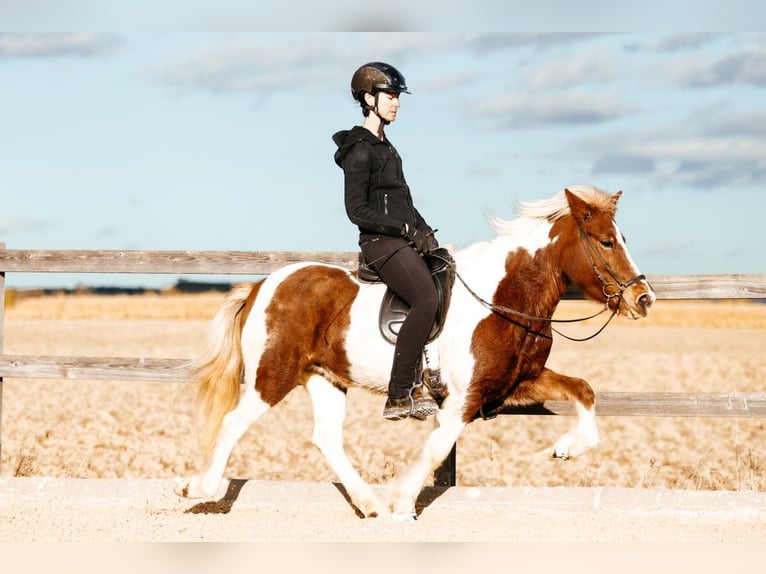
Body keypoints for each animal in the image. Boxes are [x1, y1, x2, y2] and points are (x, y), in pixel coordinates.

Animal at [175, 185, 656, 520]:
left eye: (623, 237)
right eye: (606, 242)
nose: (644, 299)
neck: (503, 296)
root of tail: (261, 285)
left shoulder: (517, 382)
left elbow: (584, 390)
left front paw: (567, 449)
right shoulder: (465, 396)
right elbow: (438, 448)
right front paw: (405, 502)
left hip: (324, 378)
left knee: (326, 438)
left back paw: (368, 504)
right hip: (272, 375)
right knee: (235, 422)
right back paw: (200, 488)